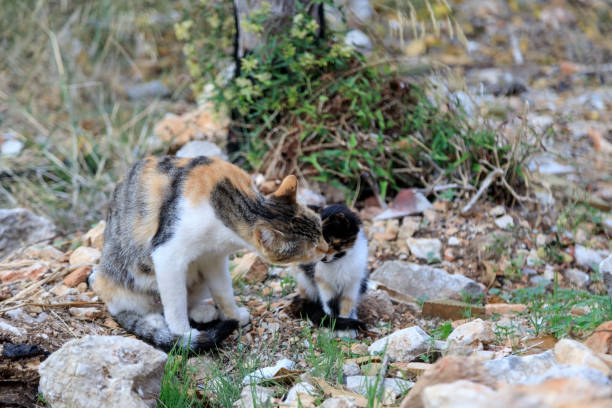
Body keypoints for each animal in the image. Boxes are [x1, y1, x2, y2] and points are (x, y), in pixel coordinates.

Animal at [91, 155, 328, 352]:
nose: (326, 250)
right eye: (312, 248)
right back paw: (157, 323)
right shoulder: (167, 255)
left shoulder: (213, 257)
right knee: (132, 308)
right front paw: (183, 334)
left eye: (321, 231)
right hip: (120, 280)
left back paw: (203, 312)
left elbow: (223, 291)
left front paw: (234, 315)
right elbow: (175, 302)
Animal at [292, 204, 368, 332]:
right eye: (316, 242)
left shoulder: (353, 283)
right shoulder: (323, 281)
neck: (339, 261)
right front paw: (333, 325)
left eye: (328, 241)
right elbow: (329, 303)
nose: (321, 258)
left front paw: (346, 325)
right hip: (305, 281)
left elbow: (348, 303)